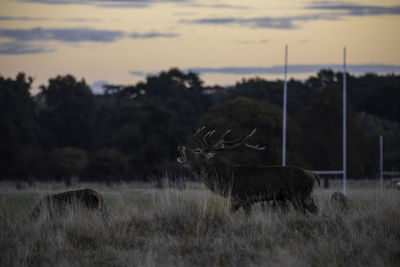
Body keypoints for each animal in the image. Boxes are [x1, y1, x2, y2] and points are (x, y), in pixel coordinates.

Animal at [177, 128, 320, 216]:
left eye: (197, 151)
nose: (181, 146)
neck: (227, 179)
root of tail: (313, 175)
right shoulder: (244, 201)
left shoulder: (241, 198)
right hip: (305, 196)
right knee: (316, 210)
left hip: (297, 195)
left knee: (304, 213)